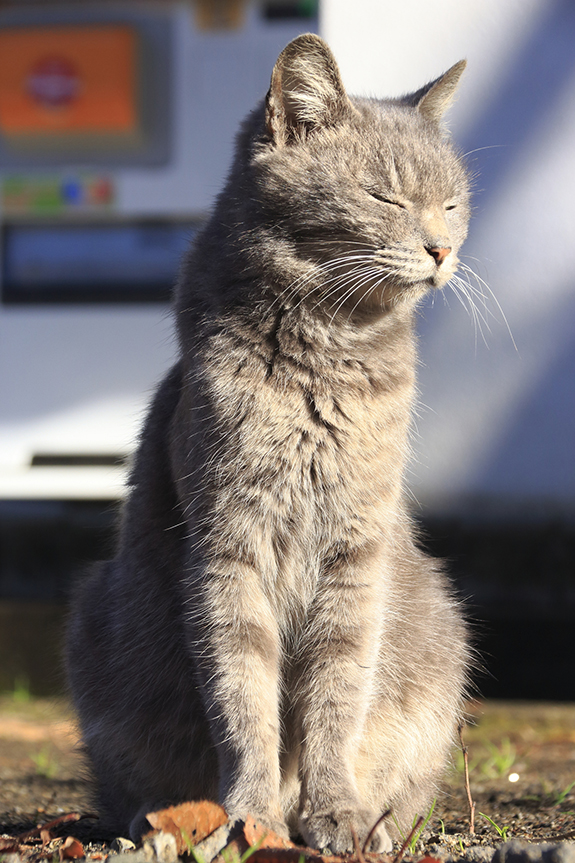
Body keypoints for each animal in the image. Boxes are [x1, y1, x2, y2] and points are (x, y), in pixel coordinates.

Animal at [66, 32, 472, 852]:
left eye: (452, 202)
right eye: (385, 197)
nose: (443, 248)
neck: (327, 354)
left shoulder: (356, 553)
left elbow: (337, 692)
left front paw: (335, 814)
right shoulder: (227, 545)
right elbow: (242, 691)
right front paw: (252, 816)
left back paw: (378, 826)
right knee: (130, 789)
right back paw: (164, 826)